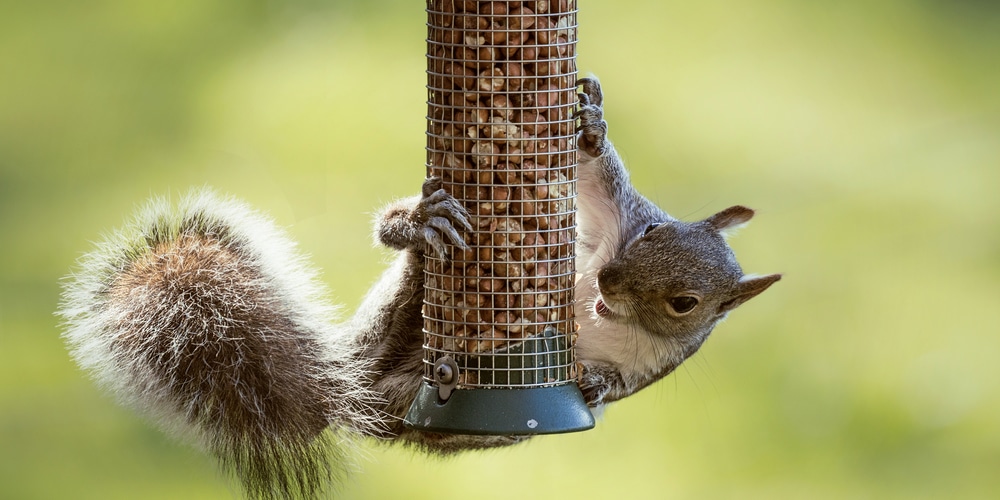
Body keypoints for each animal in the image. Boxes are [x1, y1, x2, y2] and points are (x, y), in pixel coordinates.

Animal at [58, 76, 780, 498]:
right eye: (653, 230)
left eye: (684, 305)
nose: (606, 278)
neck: (604, 312)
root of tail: (353, 396)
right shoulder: (608, 225)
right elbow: (598, 179)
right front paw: (590, 122)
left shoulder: (657, 363)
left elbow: (618, 386)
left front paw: (597, 383)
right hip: (406, 308)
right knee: (405, 252)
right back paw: (416, 225)